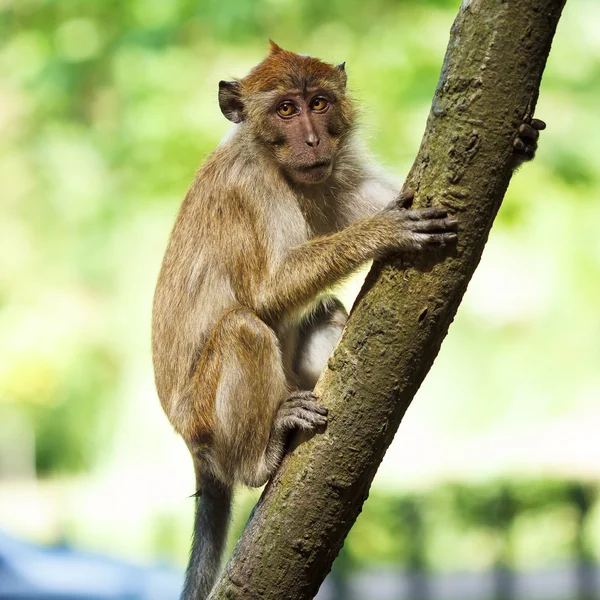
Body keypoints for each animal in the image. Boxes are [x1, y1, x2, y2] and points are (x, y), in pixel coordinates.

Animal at [152, 42, 548, 600]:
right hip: (207, 422)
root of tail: (191, 445)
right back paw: (260, 459)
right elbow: (267, 289)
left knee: (321, 311)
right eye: (286, 110)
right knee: (242, 328)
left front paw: (518, 144)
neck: (278, 164)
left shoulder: (336, 170)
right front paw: (380, 232)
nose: (313, 139)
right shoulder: (252, 186)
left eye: (318, 104)